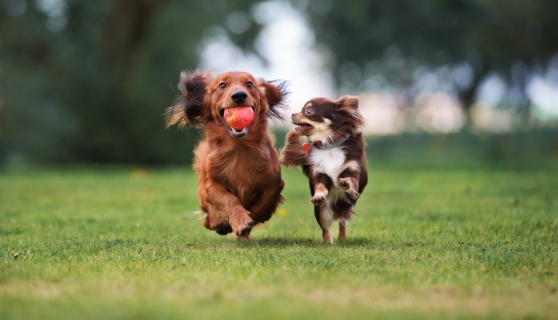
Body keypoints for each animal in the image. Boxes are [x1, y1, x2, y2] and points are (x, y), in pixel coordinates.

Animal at [166, 70, 288, 240]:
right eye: (222, 85)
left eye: (249, 84)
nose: (239, 95)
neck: (239, 148)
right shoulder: (211, 186)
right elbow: (230, 199)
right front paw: (240, 220)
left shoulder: (275, 182)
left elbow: (265, 202)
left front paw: (252, 218)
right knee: (208, 220)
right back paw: (221, 224)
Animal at [280, 96, 368, 244]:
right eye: (302, 109)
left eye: (308, 111)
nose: (292, 114)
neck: (329, 146)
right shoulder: (320, 174)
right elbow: (320, 187)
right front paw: (318, 196)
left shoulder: (353, 170)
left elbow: (351, 180)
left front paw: (345, 182)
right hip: (321, 211)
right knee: (326, 228)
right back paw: (328, 243)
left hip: (348, 205)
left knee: (342, 221)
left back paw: (342, 239)